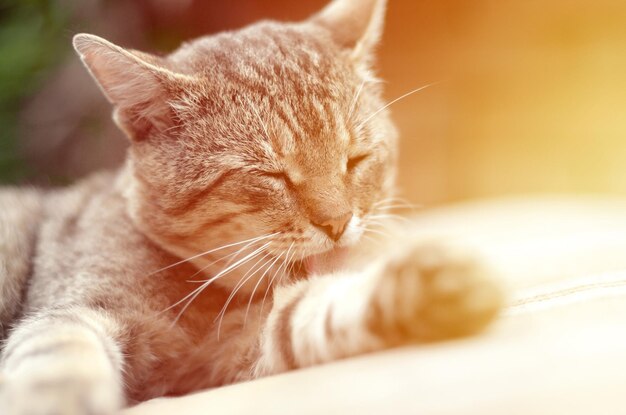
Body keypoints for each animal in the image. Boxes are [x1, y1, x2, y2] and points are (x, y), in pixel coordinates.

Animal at [0, 0, 498, 414]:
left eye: (355, 159)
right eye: (271, 175)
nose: (338, 222)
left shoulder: (229, 352)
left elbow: (309, 313)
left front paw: (422, 288)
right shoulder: (68, 309)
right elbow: (56, 359)